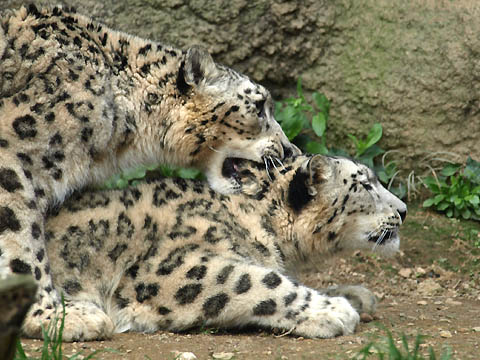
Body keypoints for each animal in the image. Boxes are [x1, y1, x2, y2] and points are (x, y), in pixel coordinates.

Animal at [43, 155, 406, 340]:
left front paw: (354, 294)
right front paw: (333, 310)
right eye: (365, 184)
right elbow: (263, 281)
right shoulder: (176, 267)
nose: (403, 210)